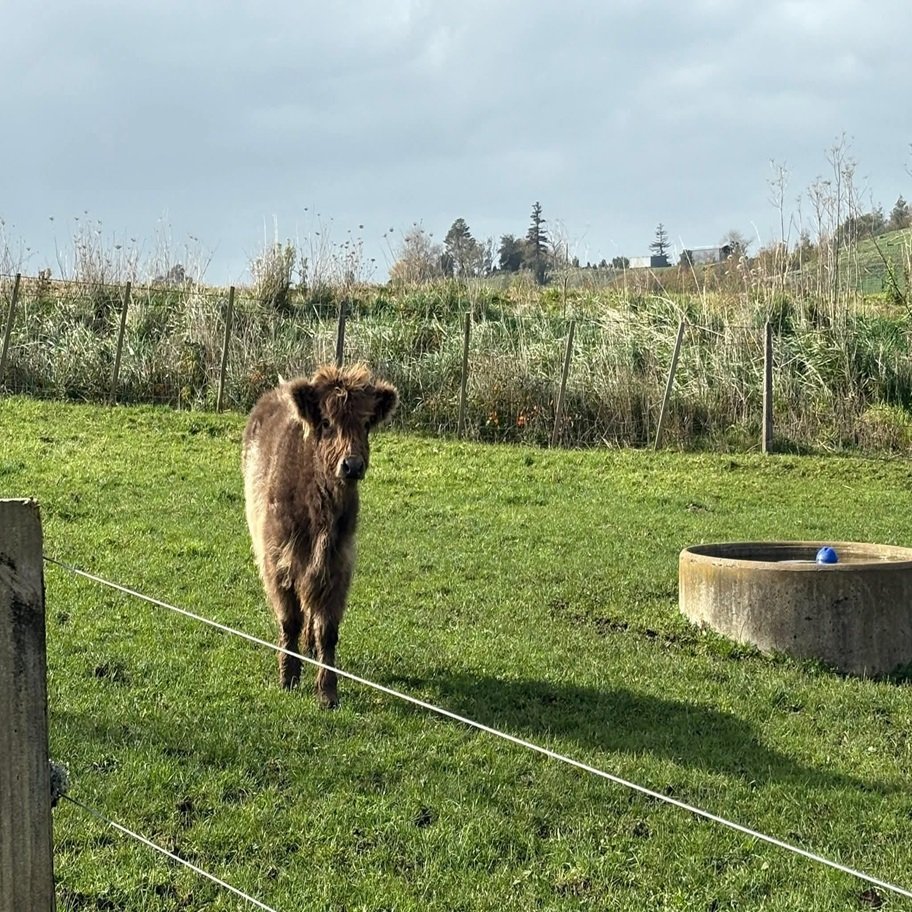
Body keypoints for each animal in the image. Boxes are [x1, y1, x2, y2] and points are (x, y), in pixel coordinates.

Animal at [242, 364, 398, 707]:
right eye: (327, 423)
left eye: (365, 423)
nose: (352, 465)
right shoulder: (277, 559)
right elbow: (289, 620)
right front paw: (288, 676)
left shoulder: (337, 564)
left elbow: (327, 629)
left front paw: (327, 691)